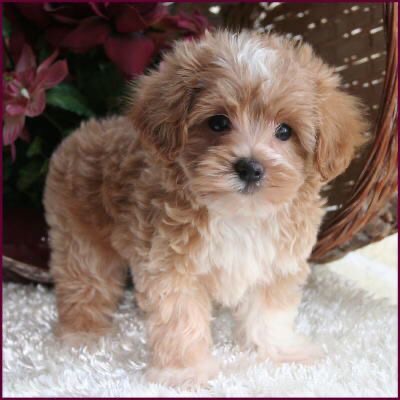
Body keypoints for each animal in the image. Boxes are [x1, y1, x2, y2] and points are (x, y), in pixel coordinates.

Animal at [45, 31, 368, 388]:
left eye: (285, 131)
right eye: (218, 123)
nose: (250, 168)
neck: (240, 214)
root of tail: (85, 131)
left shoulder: (277, 264)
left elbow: (270, 313)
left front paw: (279, 350)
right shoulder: (172, 269)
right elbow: (180, 320)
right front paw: (185, 371)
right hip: (79, 233)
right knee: (85, 282)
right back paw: (81, 334)